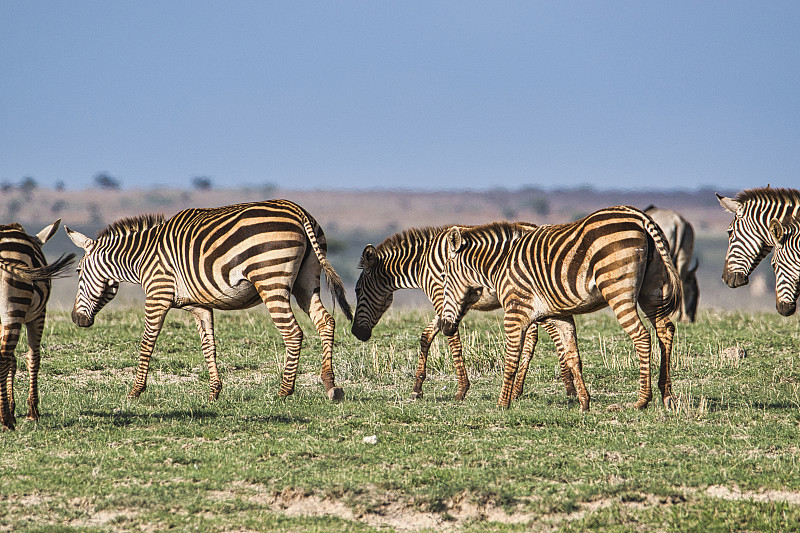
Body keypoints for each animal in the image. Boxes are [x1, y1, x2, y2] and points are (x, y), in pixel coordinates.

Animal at [0, 218, 75, 430]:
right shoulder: (39, 315)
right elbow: (33, 358)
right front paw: (32, 412)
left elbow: (14, 361)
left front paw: (13, 408)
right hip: (15, 308)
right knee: (4, 358)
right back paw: (6, 421)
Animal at [62, 202, 350, 402]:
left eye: (78, 272)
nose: (76, 319)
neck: (142, 257)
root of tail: (299, 211)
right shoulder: (200, 306)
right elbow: (208, 347)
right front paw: (214, 392)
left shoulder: (157, 295)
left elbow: (146, 343)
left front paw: (135, 391)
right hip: (306, 282)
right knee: (326, 322)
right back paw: (330, 385)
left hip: (270, 280)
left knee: (293, 333)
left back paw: (284, 391)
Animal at [354, 222, 584, 402]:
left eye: (357, 290)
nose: (357, 333)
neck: (420, 265)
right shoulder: (448, 302)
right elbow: (426, 336)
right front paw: (417, 389)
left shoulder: (441, 297)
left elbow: (453, 341)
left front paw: (461, 390)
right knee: (533, 338)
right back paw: (519, 390)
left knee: (552, 335)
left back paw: (569, 388)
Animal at [438, 206, 680, 410]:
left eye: (445, 279)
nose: (444, 327)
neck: (499, 264)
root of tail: (639, 216)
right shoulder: (559, 316)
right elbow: (573, 357)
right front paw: (584, 403)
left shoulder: (515, 312)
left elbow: (511, 358)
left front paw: (502, 404)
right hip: (653, 290)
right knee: (665, 330)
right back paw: (666, 395)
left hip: (618, 290)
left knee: (642, 336)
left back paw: (642, 400)